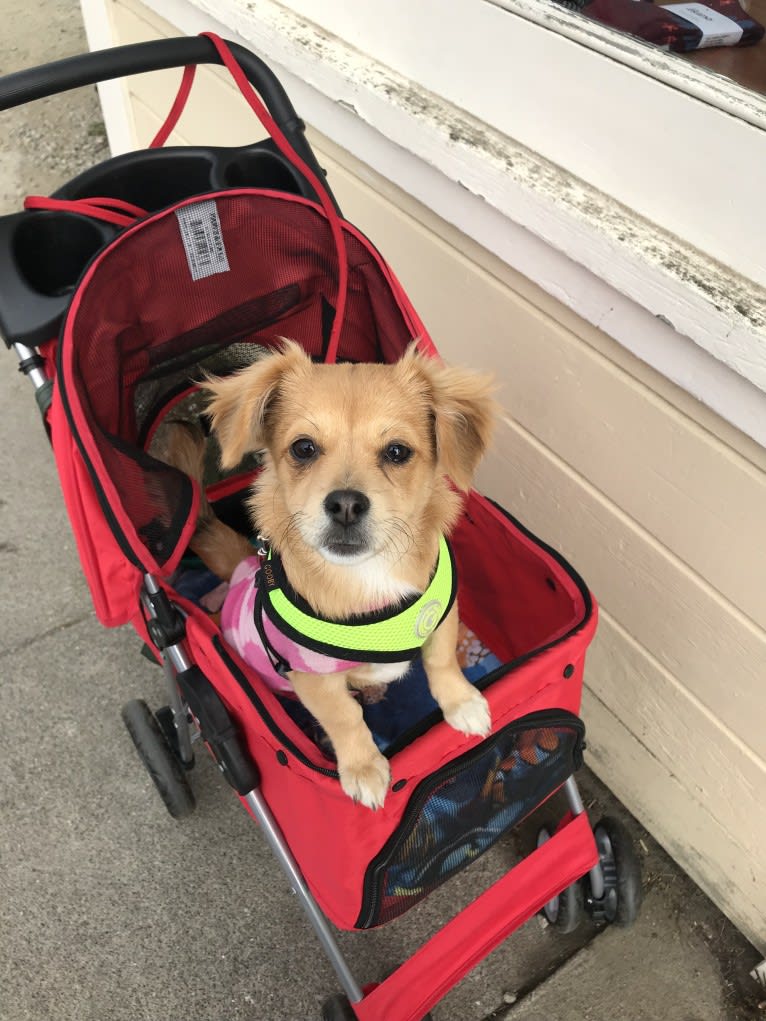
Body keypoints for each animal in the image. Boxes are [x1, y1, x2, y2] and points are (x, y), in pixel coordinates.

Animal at [160, 341, 498, 804]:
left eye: (397, 452)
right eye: (303, 448)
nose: (346, 504)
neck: (366, 576)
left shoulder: (442, 616)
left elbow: (442, 662)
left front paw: (461, 703)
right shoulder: (312, 678)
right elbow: (344, 718)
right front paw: (363, 768)